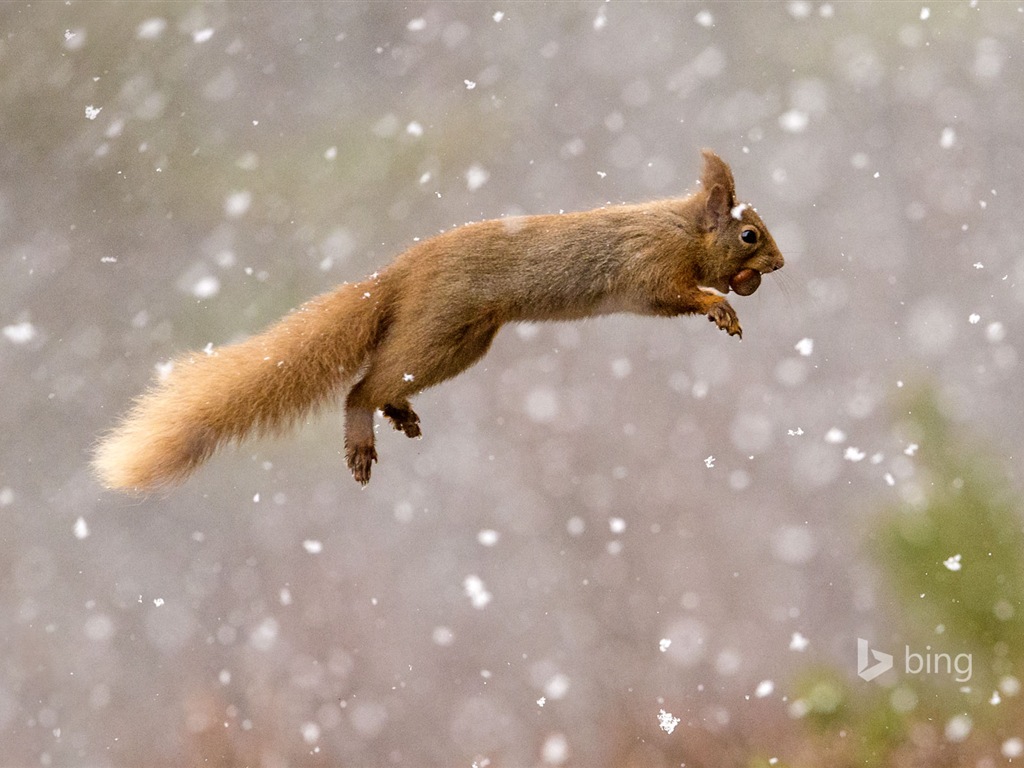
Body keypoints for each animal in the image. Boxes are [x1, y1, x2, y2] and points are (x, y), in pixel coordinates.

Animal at [94, 147, 782, 489]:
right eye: (749, 235)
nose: (778, 264)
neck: (683, 228)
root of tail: (397, 276)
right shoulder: (650, 267)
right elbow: (674, 294)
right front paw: (718, 307)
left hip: (461, 343)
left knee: (384, 378)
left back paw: (398, 414)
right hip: (439, 328)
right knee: (360, 386)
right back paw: (363, 435)